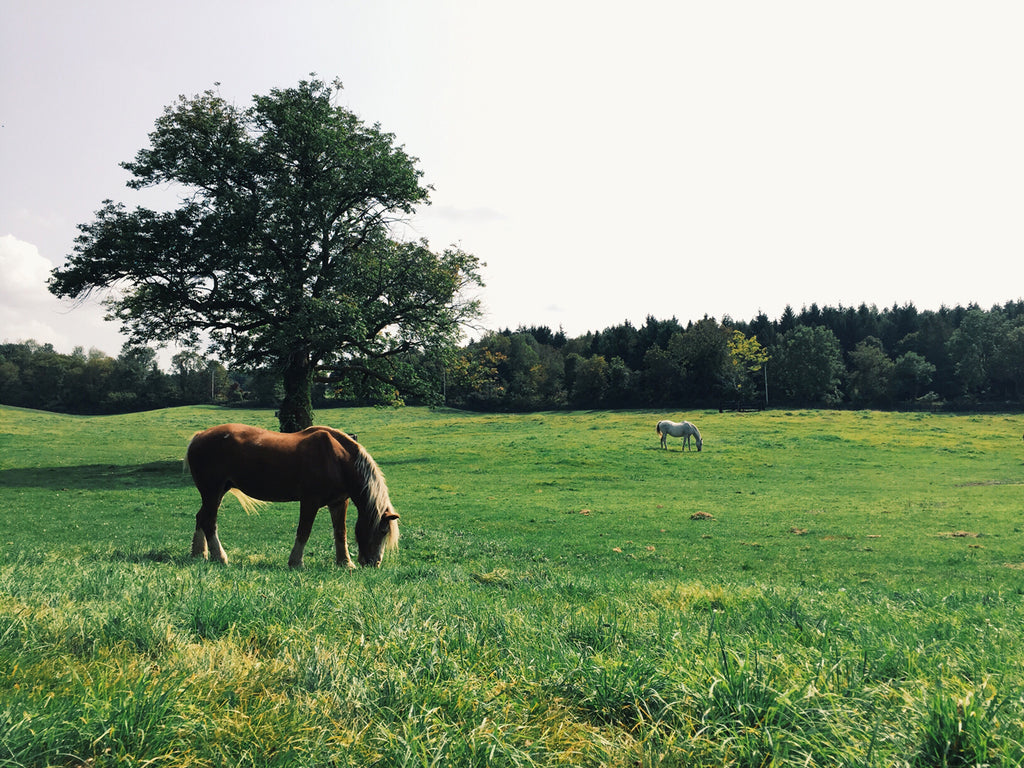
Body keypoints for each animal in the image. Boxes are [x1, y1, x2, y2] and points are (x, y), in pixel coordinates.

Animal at [184, 423, 395, 569]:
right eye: (382, 530)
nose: (374, 563)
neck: (338, 458)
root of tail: (199, 436)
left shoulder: (338, 502)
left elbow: (340, 532)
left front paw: (345, 563)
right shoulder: (310, 501)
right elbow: (304, 531)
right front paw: (296, 562)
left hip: (216, 493)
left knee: (201, 517)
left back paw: (199, 554)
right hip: (213, 491)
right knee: (209, 521)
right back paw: (220, 557)